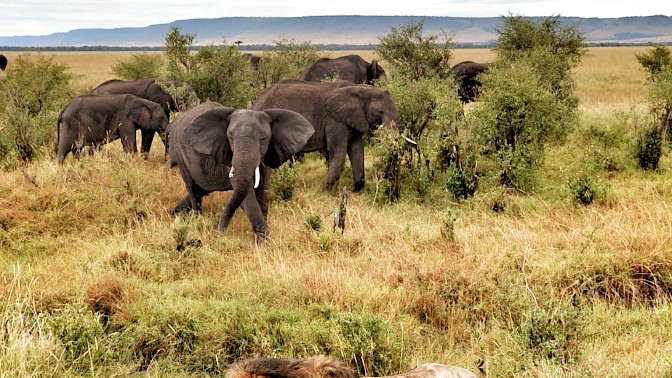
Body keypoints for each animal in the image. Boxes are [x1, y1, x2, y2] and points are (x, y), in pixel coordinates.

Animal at [168, 102, 316, 242]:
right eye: (230, 137)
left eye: (263, 139)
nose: (221, 235)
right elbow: (248, 196)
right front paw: (263, 242)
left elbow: (263, 191)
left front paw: (261, 240)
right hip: (180, 154)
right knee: (193, 191)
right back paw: (196, 222)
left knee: (201, 189)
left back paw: (175, 213)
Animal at [252, 79, 400, 192]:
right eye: (380, 111)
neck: (359, 89)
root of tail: (257, 99)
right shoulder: (334, 120)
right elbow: (338, 152)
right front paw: (328, 192)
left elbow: (357, 150)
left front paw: (358, 191)